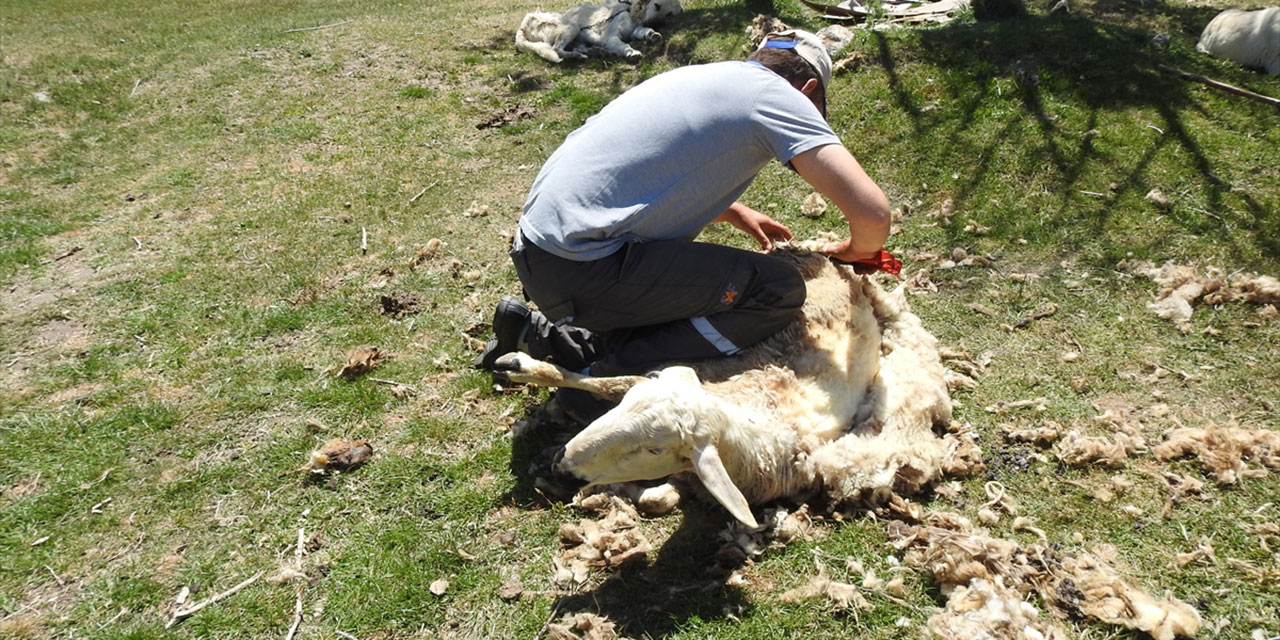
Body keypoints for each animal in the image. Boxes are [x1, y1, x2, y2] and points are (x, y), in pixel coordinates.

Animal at [494, 247, 957, 527]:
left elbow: (656, 498)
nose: (565, 464)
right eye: (623, 409)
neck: (752, 415)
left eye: (654, 449)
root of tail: (828, 258)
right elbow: (606, 381)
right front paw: (525, 368)